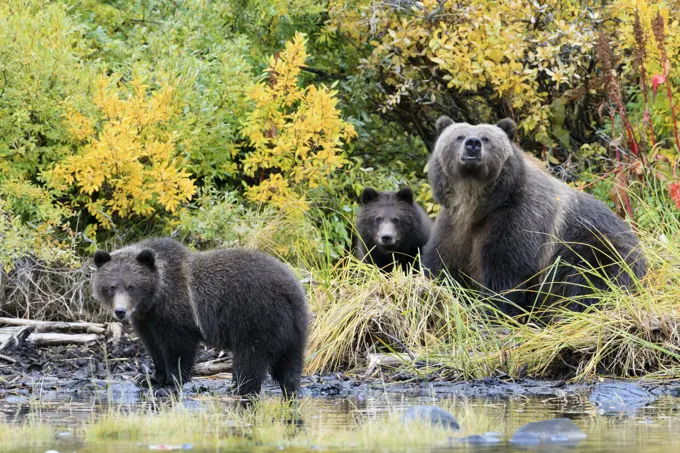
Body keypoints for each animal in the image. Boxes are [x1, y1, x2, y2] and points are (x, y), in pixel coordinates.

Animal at [92, 238, 308, 398]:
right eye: (111, 287)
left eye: (131, 286)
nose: (120, 311)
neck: (155, 299)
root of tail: (292, 288)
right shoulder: (147, 320)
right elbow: (154, 346)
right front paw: (151, 378)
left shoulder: (178, 313)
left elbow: (178, 347)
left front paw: (172, 382)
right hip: (292, 328)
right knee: (289, 363)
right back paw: (290, 388)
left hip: (256, 318)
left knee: (250, 358)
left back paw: (239, 388)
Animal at [424, 118, 648, 312]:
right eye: (459, 136)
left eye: (486, 138)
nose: (473, 144)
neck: (476, 204)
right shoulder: (454, 226)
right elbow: (441, 264)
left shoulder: (518, 219)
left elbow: (506, 275)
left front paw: (493, 310)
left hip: (597, 247)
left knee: (590, 279)